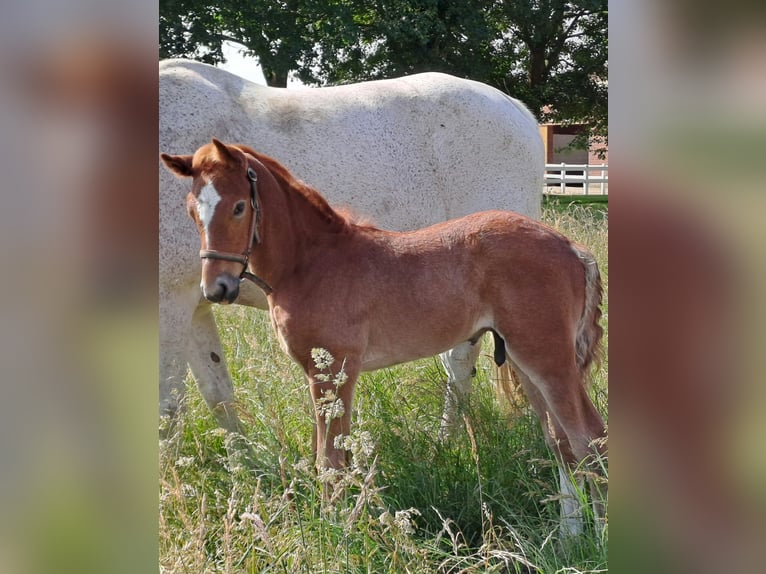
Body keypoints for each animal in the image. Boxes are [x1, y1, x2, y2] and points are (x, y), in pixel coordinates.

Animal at [160, 59, 544, 436]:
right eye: (192, 210)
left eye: (239, 208)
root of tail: (515, 109)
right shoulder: (194, 306)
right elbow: (218, 394)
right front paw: (246, 456)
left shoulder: (171, 303)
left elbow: (167, 411)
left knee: (461, 364)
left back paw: (448, 440)